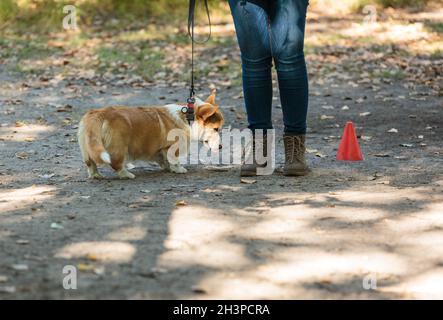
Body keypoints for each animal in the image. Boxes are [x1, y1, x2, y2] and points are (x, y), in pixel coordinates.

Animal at [78, 91, 224, 179]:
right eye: (216, 129)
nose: (221, 147)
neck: (188, 118)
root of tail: (98, 114)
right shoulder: (172, 147)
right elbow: (174, 160)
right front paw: (179, 169)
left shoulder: (159, 150)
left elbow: (164, 159)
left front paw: (168, 167)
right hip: (119, 148)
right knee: (116, 164)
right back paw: (127, 174)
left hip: (88, 147)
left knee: (90, 163)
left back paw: (96, 175)